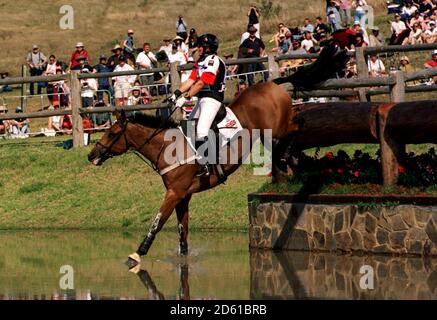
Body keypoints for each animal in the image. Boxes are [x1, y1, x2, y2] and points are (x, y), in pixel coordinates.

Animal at [87, 42, 348, 268]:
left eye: (111, 134)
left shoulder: (174, 193)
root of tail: (272, 84)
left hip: (279, 126)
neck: (168, 147)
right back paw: (287, 159)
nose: (92, 155)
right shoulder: (184, 196)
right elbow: (182, 232)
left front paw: (137, 253)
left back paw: (287, 155)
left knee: (299, 124)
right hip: (269, 133)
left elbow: (157, 222)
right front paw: (182, 257)